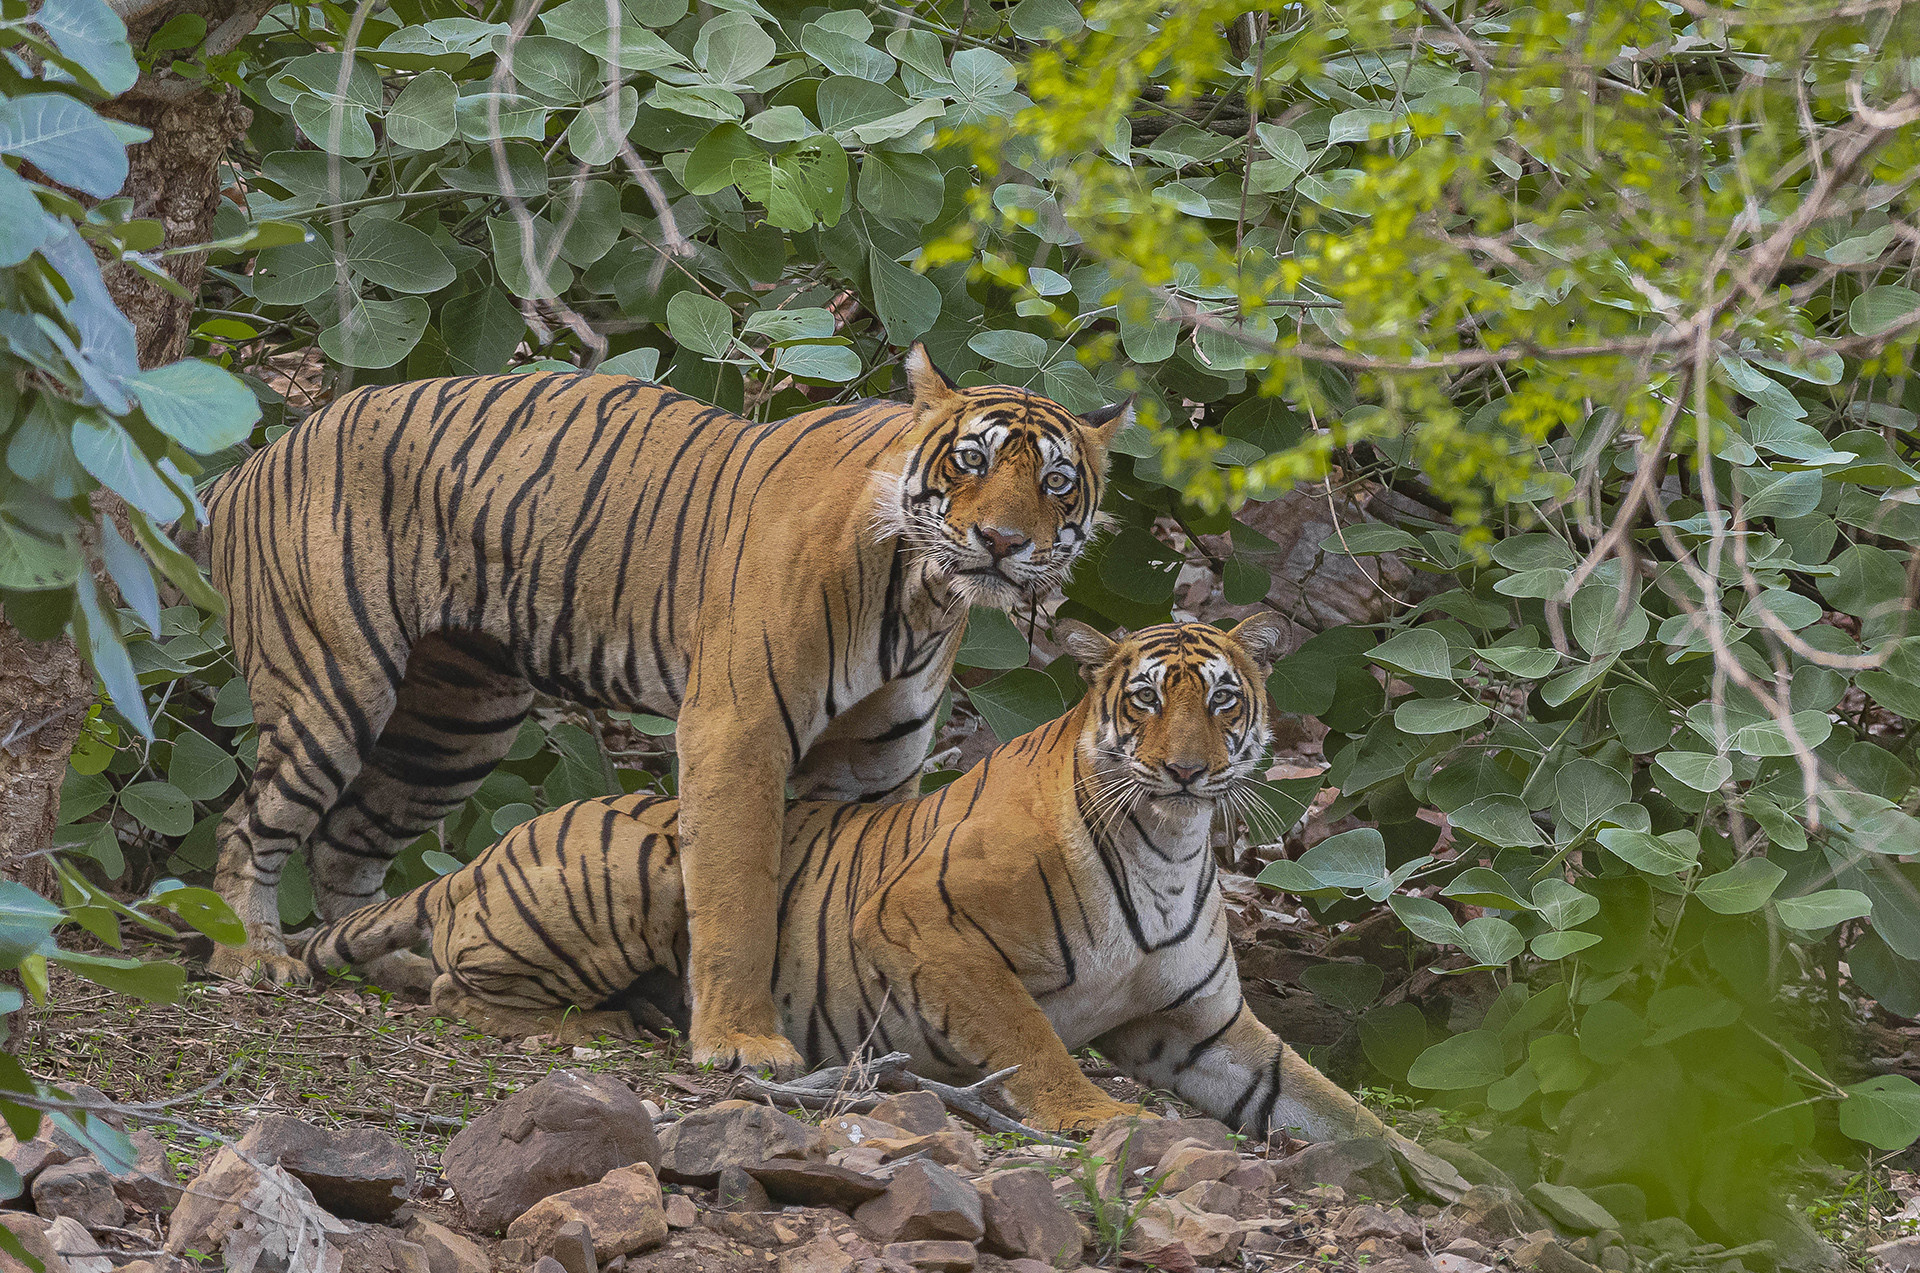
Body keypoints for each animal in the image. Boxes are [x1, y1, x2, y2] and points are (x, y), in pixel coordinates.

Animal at [203, 345, 1129, 1075]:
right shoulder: (737, 727)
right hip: (333, 680)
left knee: (346, 848)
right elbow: (736, 892)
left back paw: (387, 964)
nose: (1003, 542)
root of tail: (260, 455)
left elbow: (845, 894)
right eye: (970, 461)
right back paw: (252, 957)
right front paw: (741, 1042)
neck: (921, 596)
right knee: (250, 822)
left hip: (455, 726)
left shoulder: (877, 760)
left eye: (1055, 482)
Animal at [298, 617, 1402, 1143]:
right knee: (455, 987)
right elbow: (1032, 1039)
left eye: (1222, 701)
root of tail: (488, 851)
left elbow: (1343, 1115)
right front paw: (1099, 1115)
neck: (1170, 844)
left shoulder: (1204, 1025)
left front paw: (1440, 1176)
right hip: (642, 867)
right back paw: (610, 1025)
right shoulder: (919, 918)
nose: (1185, 769)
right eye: (1143, 700)